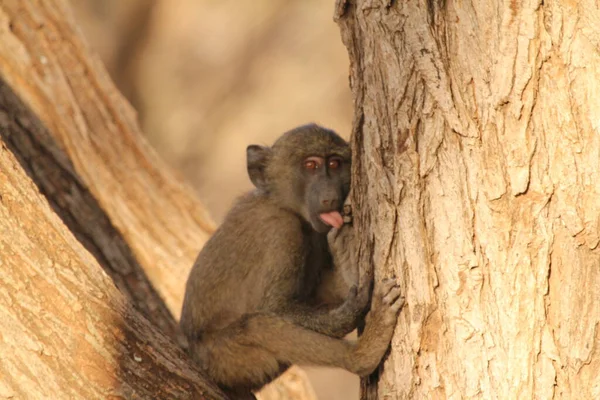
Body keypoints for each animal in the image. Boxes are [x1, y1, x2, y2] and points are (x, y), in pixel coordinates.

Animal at [178, 123, 404, 398]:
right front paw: (354, 309)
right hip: (223, 361)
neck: (284, 204)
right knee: (257, 325)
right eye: (311, 166)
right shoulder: (282, 232)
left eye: (335, 163)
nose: (330, 197)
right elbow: (276, 307)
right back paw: (362, 354)